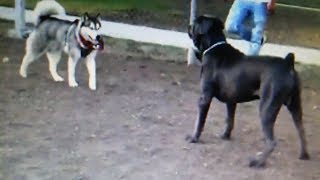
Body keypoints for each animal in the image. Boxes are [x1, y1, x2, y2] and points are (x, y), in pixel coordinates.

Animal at [186, 15, 308, 167]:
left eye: (195, 23)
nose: (188, 26)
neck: (214, 46)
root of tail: (288, 63)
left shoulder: (204, 98)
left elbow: (199, 122)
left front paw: (193, 138)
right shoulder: (231, 101)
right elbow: (229, 120)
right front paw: (225, 136)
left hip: (267, 108)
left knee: (272, 142)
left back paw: (258, 162)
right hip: (295, 106)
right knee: (301, 130)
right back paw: (304, 154)